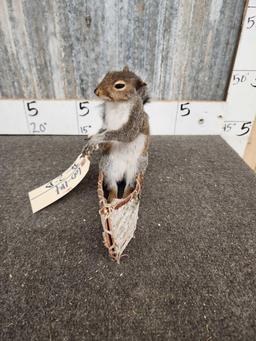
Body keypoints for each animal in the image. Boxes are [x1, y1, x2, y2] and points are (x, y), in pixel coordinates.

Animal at [82, 66, 150, 202]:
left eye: (119, 85)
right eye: (108, 74)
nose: (96, 91)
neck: (118, 103)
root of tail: (123, 172)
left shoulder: (136, 118)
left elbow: (125, 134)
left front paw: (95, 139)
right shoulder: (105, 122)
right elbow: (103, 130)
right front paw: (92, 139)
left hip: (137, 168)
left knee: (129, 185)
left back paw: (125, 197)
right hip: (108, 166)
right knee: (112, 185)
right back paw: (112, 199)